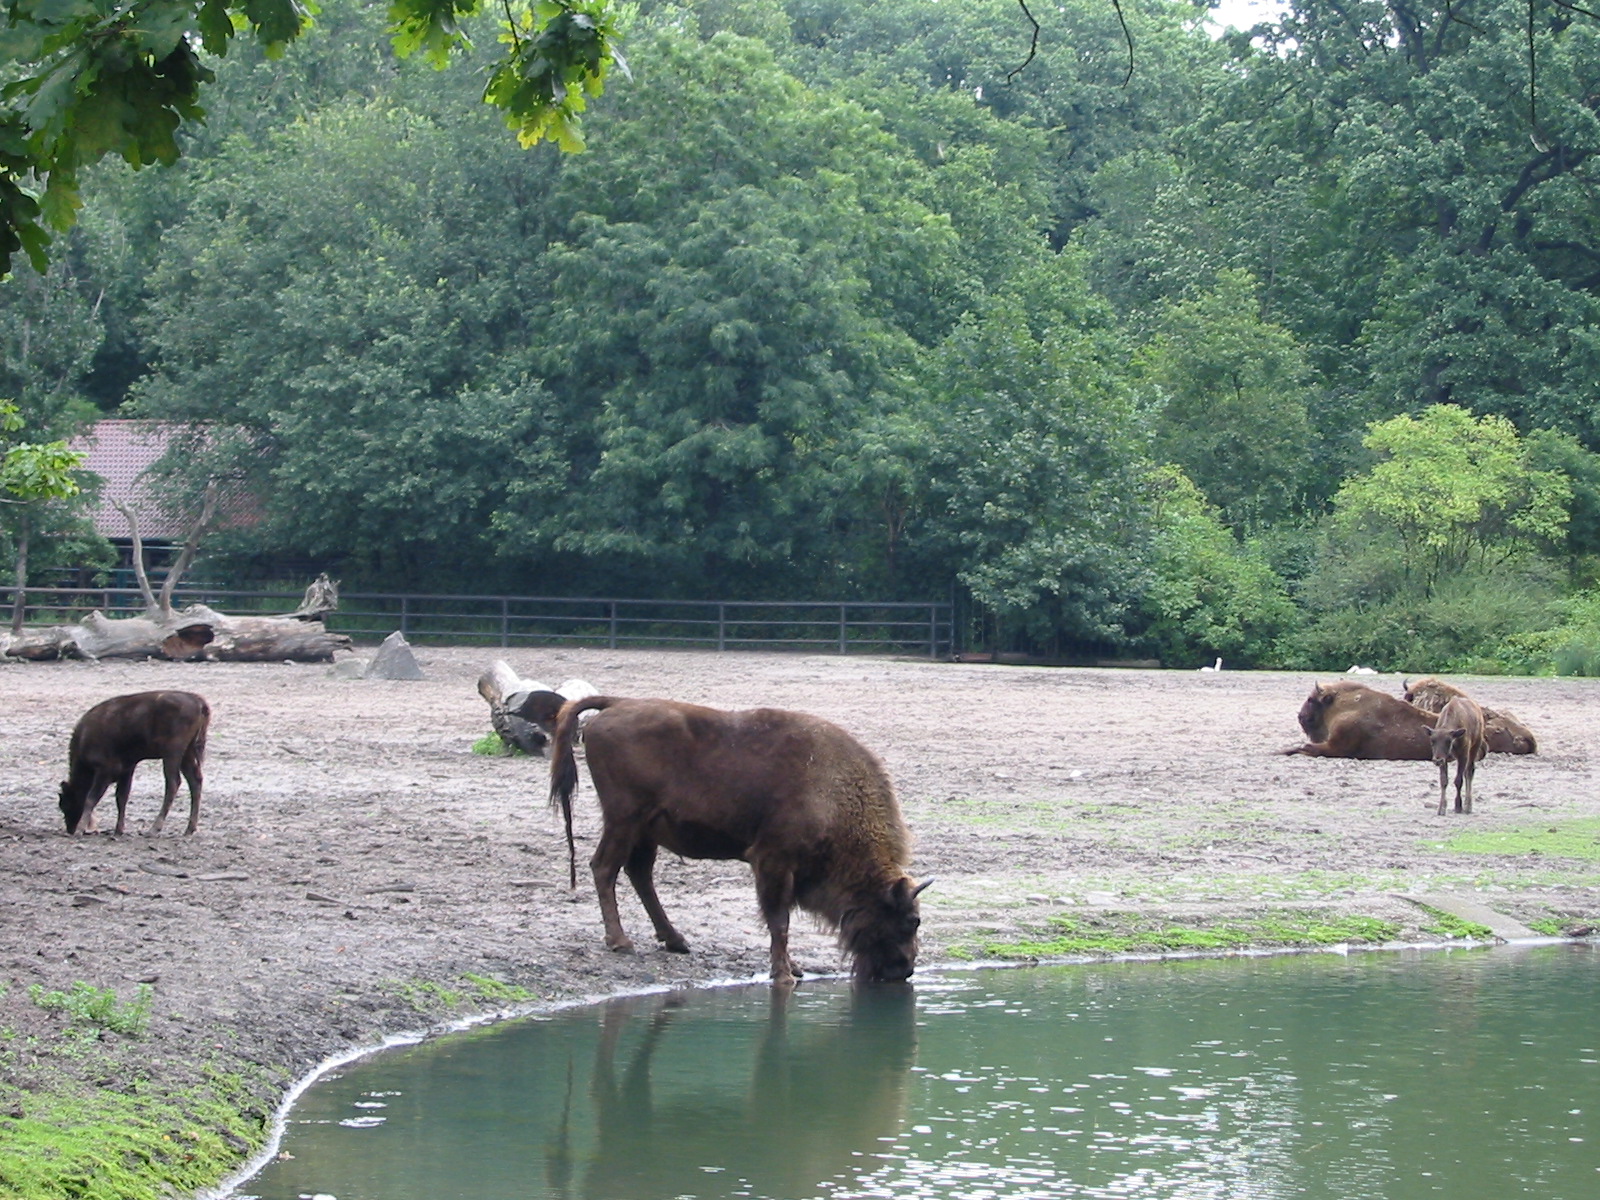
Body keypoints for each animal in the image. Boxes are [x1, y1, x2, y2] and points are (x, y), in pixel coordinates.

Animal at [548, 696, 926, 985]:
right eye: (911, 921)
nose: (905, 970)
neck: (832, 790)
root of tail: (617, 703)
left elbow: (781, 920)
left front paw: (794, 968)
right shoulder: (773, 861)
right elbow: (779, 921)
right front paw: (784, 973)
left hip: (645, 830)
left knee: (639, 873)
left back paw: (676, 941)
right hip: (624, 820)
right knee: (604, 867)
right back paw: (620, 942)